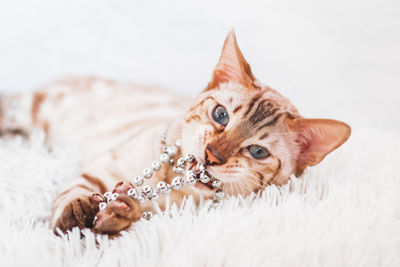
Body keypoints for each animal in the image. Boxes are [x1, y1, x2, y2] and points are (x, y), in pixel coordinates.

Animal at [0, 30, 350, 238]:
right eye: (220, 115)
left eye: (258, 151)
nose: (212, 155)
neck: (171, 176)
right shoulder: (101, 167)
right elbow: (73, 196)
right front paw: (75, 218)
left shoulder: (164, 210)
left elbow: (128, 215)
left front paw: (116, 215)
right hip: (29, 108)